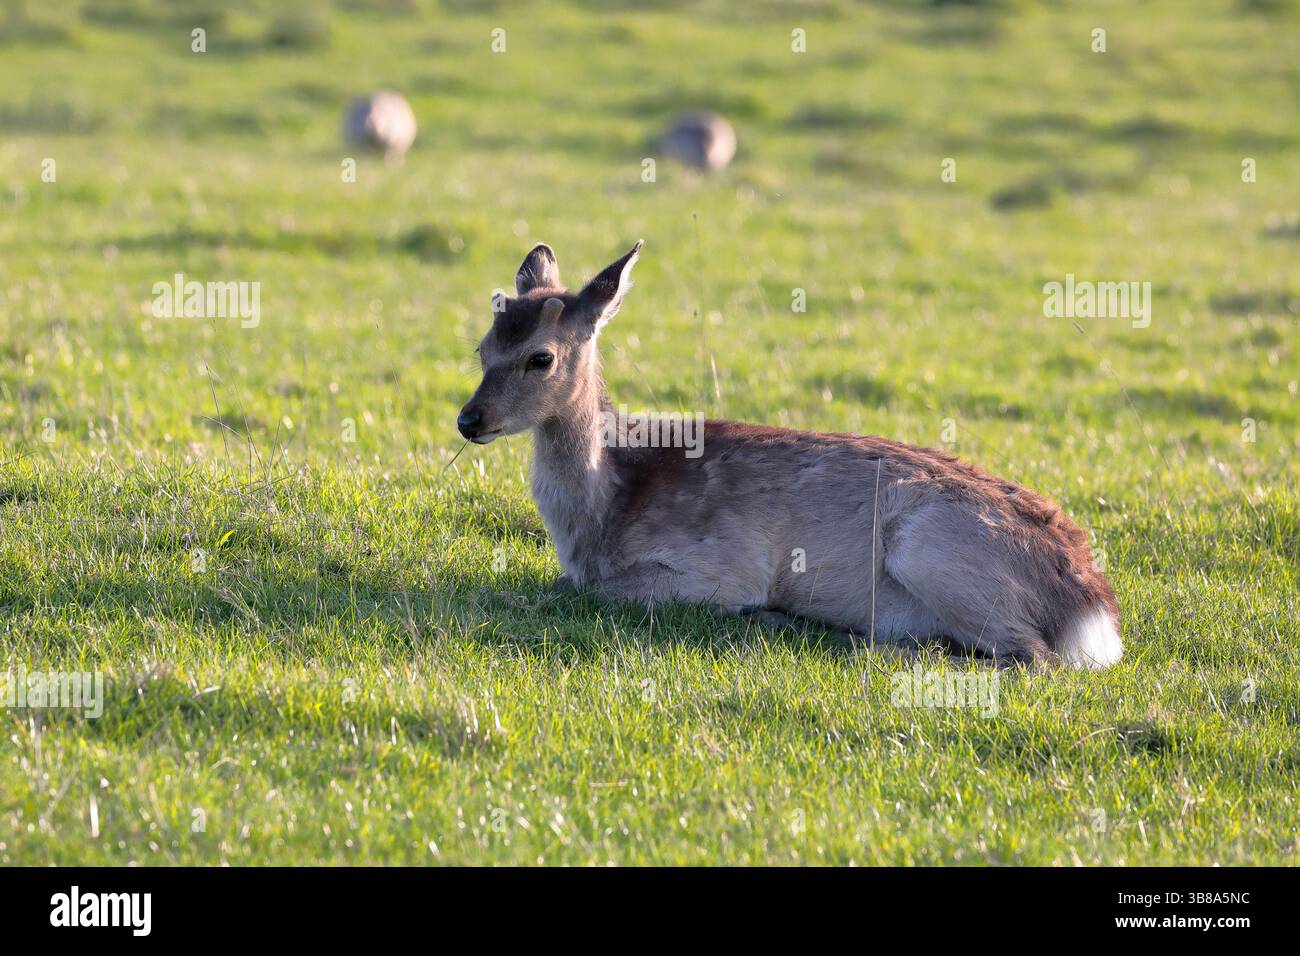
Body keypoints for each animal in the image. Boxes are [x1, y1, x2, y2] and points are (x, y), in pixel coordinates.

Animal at [457, 241, 1123, 667]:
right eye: (482, 346)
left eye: (541, 356)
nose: (469, 420)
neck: (604, 511)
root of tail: (1094, 610)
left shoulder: (720, 566)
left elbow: (595, 591)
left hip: (930, 548)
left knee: (1029, 656)